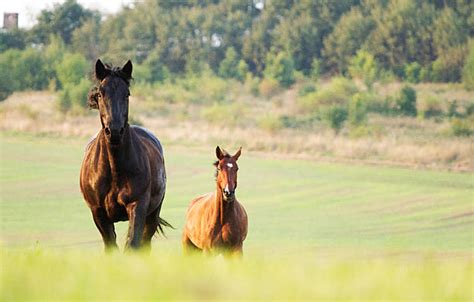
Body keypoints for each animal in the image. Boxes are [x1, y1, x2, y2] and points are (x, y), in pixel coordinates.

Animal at [79, 59, 170, 252]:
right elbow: (111, 246)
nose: (114, 131)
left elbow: (133, 244)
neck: (115, 169)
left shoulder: (138, 207)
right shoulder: (99, 213)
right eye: (100, 94)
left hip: (153, 215)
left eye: (126, 94)